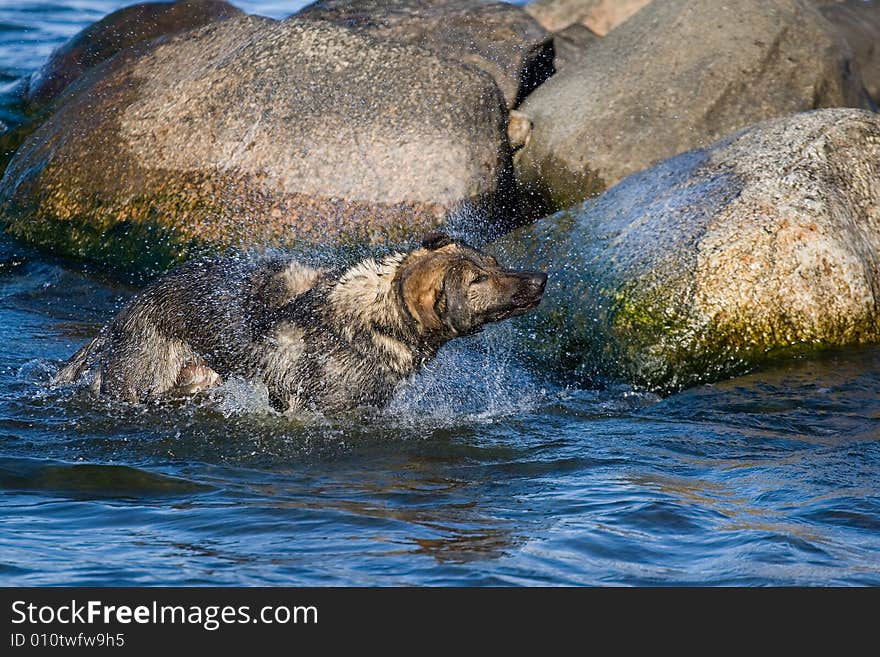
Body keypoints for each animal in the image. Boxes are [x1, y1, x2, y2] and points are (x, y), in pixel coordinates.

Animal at [55, 233, 544, 412]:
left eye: (494, 263)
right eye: (479, 280)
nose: (541, 280)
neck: (378, 314)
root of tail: (127, 309)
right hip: (140, 383)